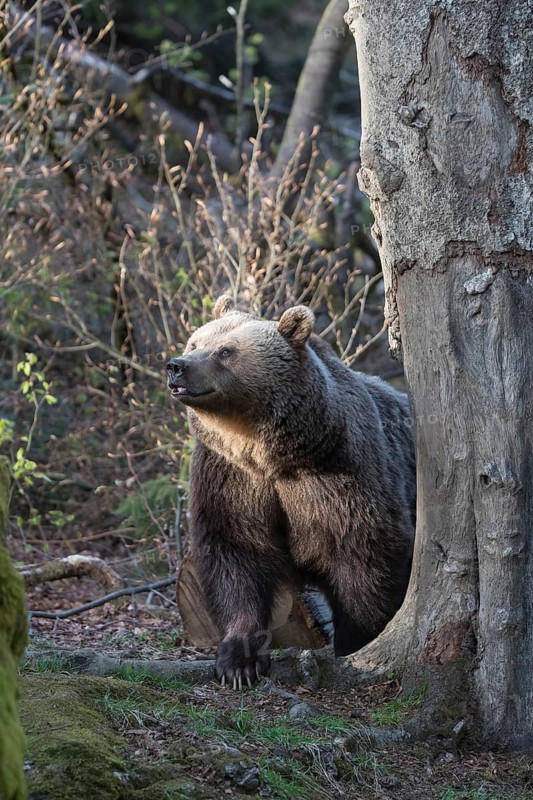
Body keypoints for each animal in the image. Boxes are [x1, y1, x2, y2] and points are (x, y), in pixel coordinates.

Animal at [167, 297, 416, 688]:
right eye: (195, 342)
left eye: (226, 351)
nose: (177, 366)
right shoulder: (232, 478)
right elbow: (236, 554)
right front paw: (239, 660)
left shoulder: (336, 476)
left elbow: (363, 557)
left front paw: (356, 644)